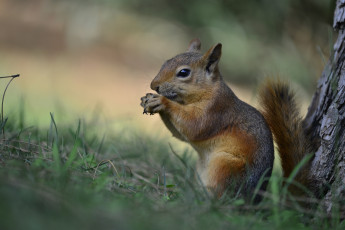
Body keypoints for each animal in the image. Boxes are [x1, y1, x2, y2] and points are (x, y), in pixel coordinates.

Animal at [139, 38, 312, 200]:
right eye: (166, 62)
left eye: (183, 72)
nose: (154, 85)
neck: (207, 90)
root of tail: (254, 200)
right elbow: (181, 135)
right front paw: (148, 101)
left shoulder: (216, 110)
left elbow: (194, 126)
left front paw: (162, 101)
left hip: (225, 165)